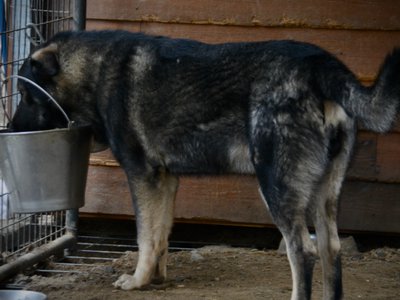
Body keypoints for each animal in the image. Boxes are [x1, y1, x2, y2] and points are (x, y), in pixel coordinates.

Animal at [9, 31, 400, 300]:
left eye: (27, 96)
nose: (11, 131)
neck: (94, 70)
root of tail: (319, 64)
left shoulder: (142, 176)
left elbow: (144, 236)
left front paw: (137, 281)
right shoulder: (165, 181)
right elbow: (160, 234)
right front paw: (155, 277)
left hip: (276, 188)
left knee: (302, 251)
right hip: (324, 195)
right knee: (330, 250)